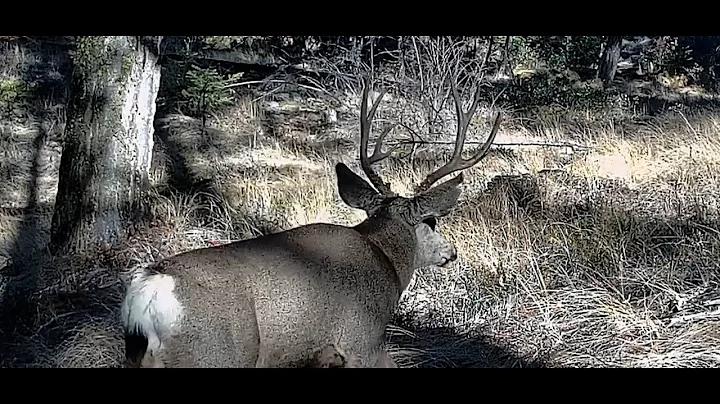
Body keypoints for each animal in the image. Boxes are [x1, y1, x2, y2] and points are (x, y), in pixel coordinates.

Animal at [120, 76, 501, 368]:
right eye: (432, 220)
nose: (451, 253)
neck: (386, 261)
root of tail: (148, 293)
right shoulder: (362, 342)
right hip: (215, 354)